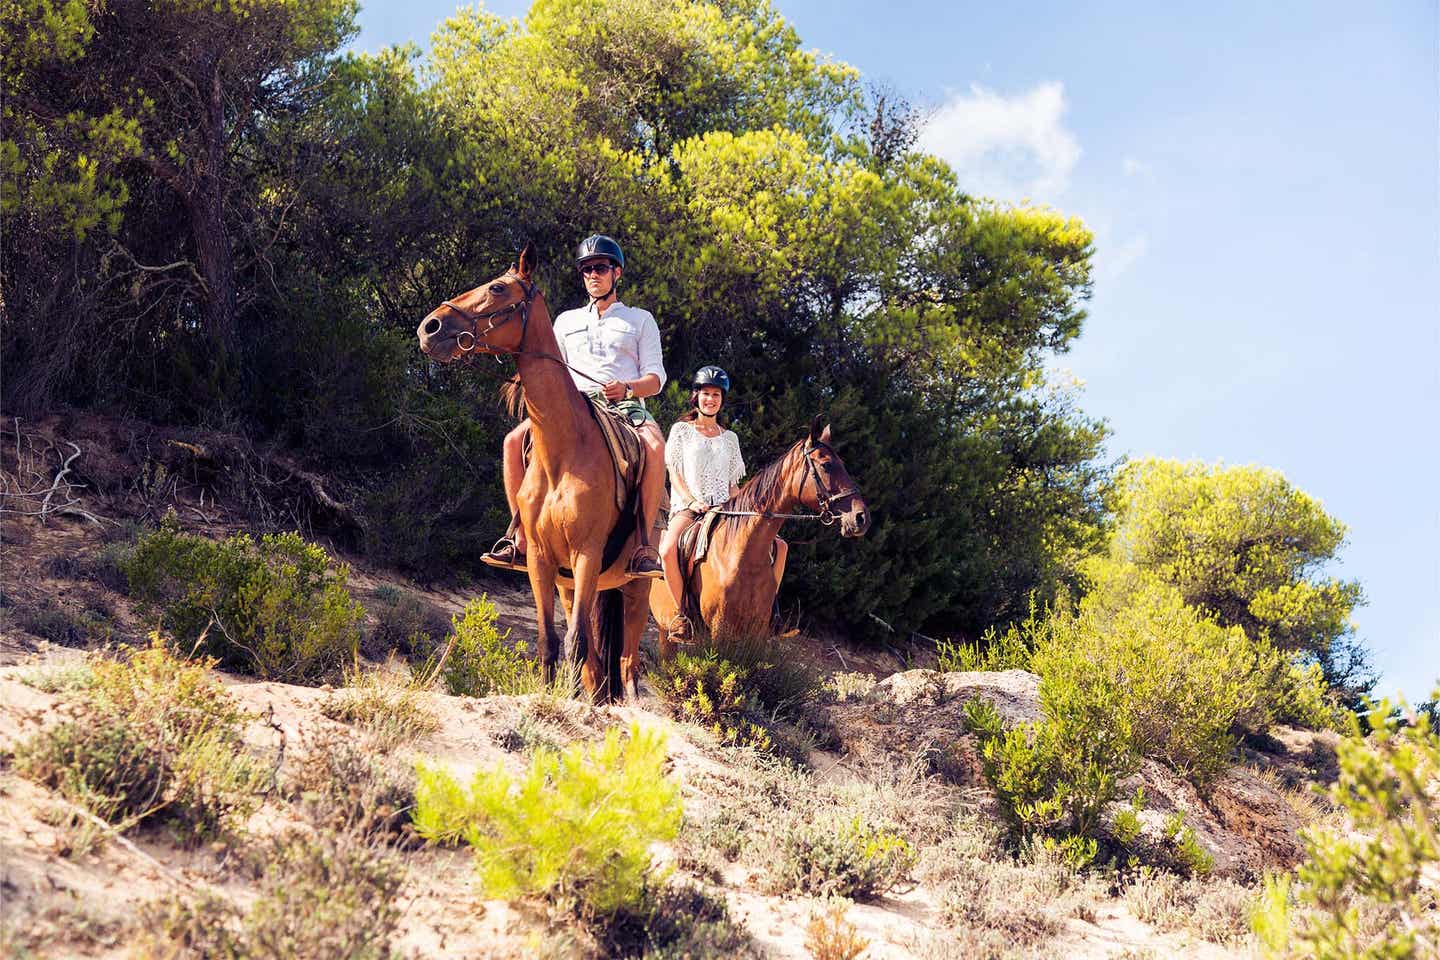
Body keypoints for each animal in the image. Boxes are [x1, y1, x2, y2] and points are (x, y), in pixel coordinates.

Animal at [417, 244, 653, 702]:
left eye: (497, 287)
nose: (430, 327)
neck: (565, 452)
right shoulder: (542, 563)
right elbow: (549, 642)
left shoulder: (586, 555)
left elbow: (576, 642)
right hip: (578, 586)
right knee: (598, 662)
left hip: (637, 588)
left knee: (627, 661)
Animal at [650, 420, 864, 662]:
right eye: (826, 465)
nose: (861, 517)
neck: (741, 554)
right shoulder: (719, 629)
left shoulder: (757, 630)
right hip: (663, 625)